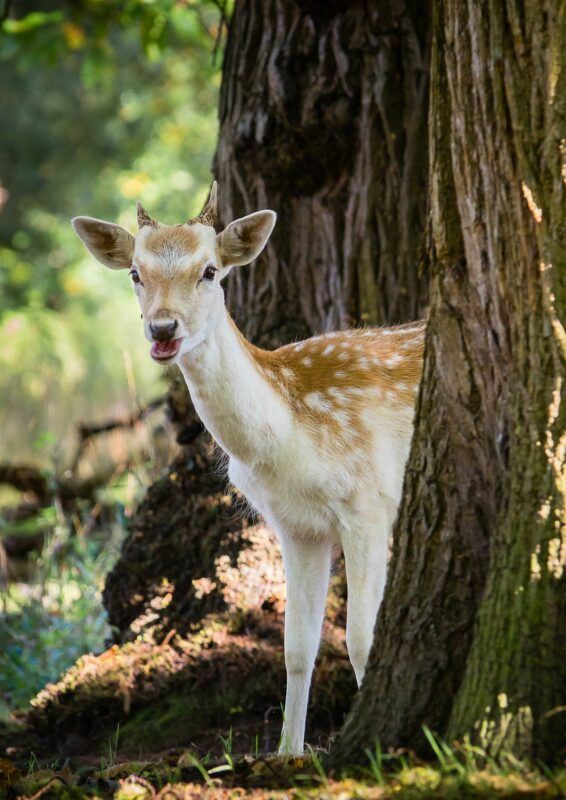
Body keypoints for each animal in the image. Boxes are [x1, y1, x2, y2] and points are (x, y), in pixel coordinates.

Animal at [72, 183, 425, 755]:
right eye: (135, 274)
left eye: (210, 270)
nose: (163, 328)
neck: (286, 439)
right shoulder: (296, 527)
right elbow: (297, 647)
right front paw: (287, 753)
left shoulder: (368, 503)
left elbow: (362, 638)